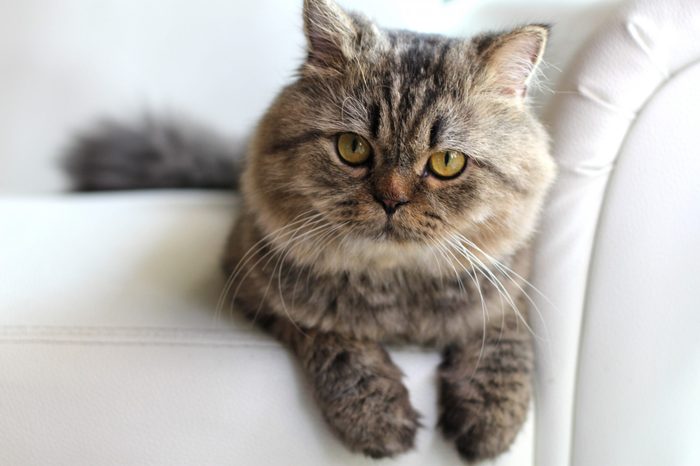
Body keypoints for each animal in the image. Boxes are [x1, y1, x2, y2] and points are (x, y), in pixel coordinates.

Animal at [67, 0, 556, 460]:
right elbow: (338, 344)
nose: (391, 201)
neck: (395, 284)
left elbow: (504, 348)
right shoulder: (263, 293)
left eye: (447, 162)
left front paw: (490, 423)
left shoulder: (508, 291)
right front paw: (379, 418)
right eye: (352, 148)